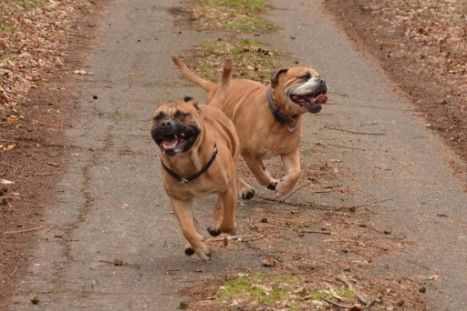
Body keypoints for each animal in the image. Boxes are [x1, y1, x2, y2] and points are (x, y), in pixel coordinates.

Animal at [152, 61, 239, 260]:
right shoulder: (179, 199)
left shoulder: (228, 187)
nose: (166, 123)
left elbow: (227, 217)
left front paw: (227, 227)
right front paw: (200, 247)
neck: (186, 160)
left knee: (220, 205)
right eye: (158, 117)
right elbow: (187, 229)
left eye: (181, 115)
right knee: (193, 223)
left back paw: (215, 224)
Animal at [173, 56, 330, 197]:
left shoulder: (289, 152)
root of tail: (215, 87)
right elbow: (257, 171)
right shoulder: (247, 152)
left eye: (319, 77)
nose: (322, 81)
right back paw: (245, 189)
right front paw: (266, 181)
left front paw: (283, 188)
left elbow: (296, 172)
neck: (279, 116)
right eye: (304, 77)